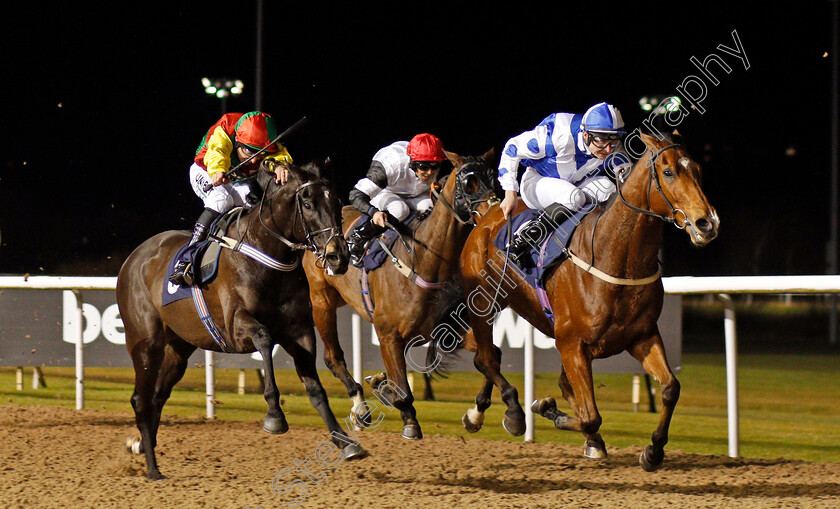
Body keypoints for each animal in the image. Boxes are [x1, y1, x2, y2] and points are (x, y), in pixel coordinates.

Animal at [117, 164, 368, 480]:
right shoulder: (235, 328)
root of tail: (133, 258)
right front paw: (274, 416)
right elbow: (264, 339)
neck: (267, 256)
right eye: (309, 205)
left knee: (157, 397)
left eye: (336, 203)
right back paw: (152, 468)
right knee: (141, 398)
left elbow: (316, 390)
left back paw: (142, 445)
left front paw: (346, 442)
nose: (338, 256)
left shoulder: (299, 332)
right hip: (146, 342)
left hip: (178, 348)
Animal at [304, 149, 496, 438]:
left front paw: (475, 415)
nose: (495, 209)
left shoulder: (447, 329)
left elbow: (491, 356)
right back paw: (359, 407)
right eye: (468, 182)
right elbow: (403, 392)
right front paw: (408, 421)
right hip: (322, 301)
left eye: (493, 178)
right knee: (332, 357)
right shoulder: (388, 335)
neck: (425, 261)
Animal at [450, 133, 720, 470]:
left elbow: (670, 387)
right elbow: (590, 416)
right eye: (669, 172)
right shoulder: (571, 343)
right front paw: (546, 408)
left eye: (697, 169)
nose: (707, 223)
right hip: (484, 300)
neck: (614, 257)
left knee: (493, 355)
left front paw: (653, 450)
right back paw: (509, 414)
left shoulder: (642, 336)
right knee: (485, 357)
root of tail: (487, 215)